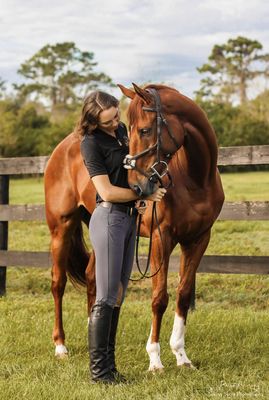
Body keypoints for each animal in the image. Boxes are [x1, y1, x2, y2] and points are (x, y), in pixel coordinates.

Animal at [44, 83, 224, 370]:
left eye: (145, 130)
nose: (137, 186)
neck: (195, 180)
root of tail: (64, 147)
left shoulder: (198, 239)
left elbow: (183, 294)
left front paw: (181, 356)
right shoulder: (162, 240)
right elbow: (159, 298)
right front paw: (155, 359)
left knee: (93, 277)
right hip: (61, 228)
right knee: (58, 283)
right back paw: (60, 346)